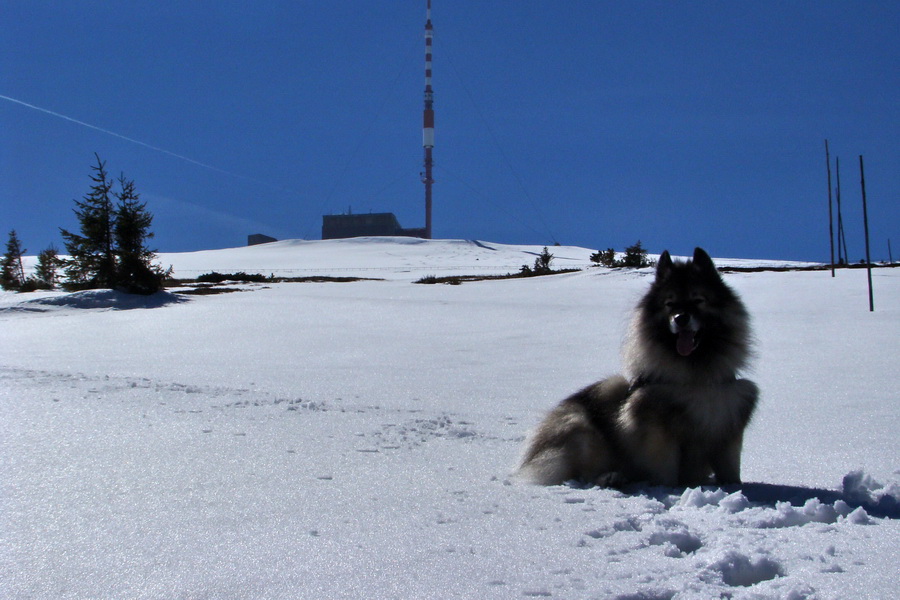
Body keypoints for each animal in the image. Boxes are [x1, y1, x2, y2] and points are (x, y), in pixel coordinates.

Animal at [516, 248, 756, 488]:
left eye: (698, 300)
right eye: (669, 303)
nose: (681, 318)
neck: (695, 379)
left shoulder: (728, 429)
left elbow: (731, 473)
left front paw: (736, 489)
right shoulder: (659, 432)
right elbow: (666, 472)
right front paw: (667, 490)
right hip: (585, 429)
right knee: (585, 472)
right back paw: (611, 477)